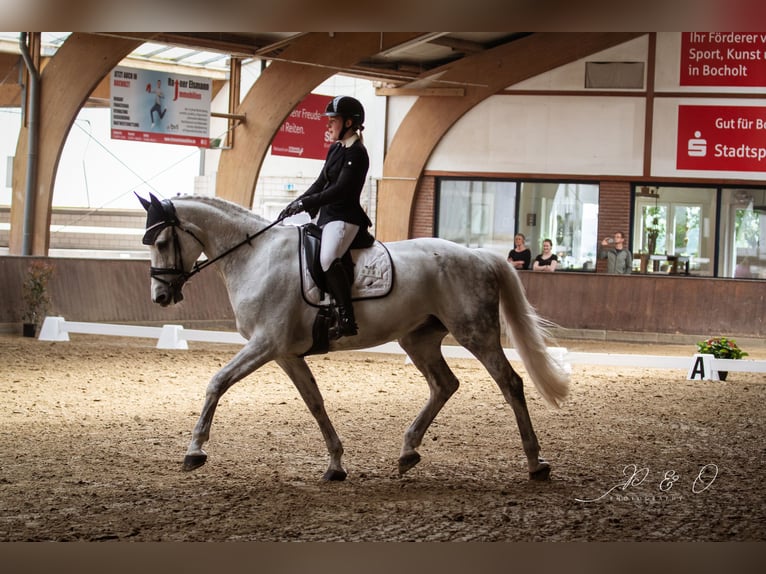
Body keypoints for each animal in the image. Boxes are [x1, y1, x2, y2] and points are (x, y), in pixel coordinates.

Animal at [137, 193, 569, 481]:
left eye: (161, 242)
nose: (160, 297)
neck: (255, 256)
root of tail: (480, 255)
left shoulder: (265, 343)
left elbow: (217, 382)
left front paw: (195, 451)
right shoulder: (286, 353)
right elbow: (315, 403)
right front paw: (335, 464)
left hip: (474, 332)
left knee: (509, 382)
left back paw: (536, 463)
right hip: (419, 338)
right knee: (445, 384)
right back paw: (408, 452)